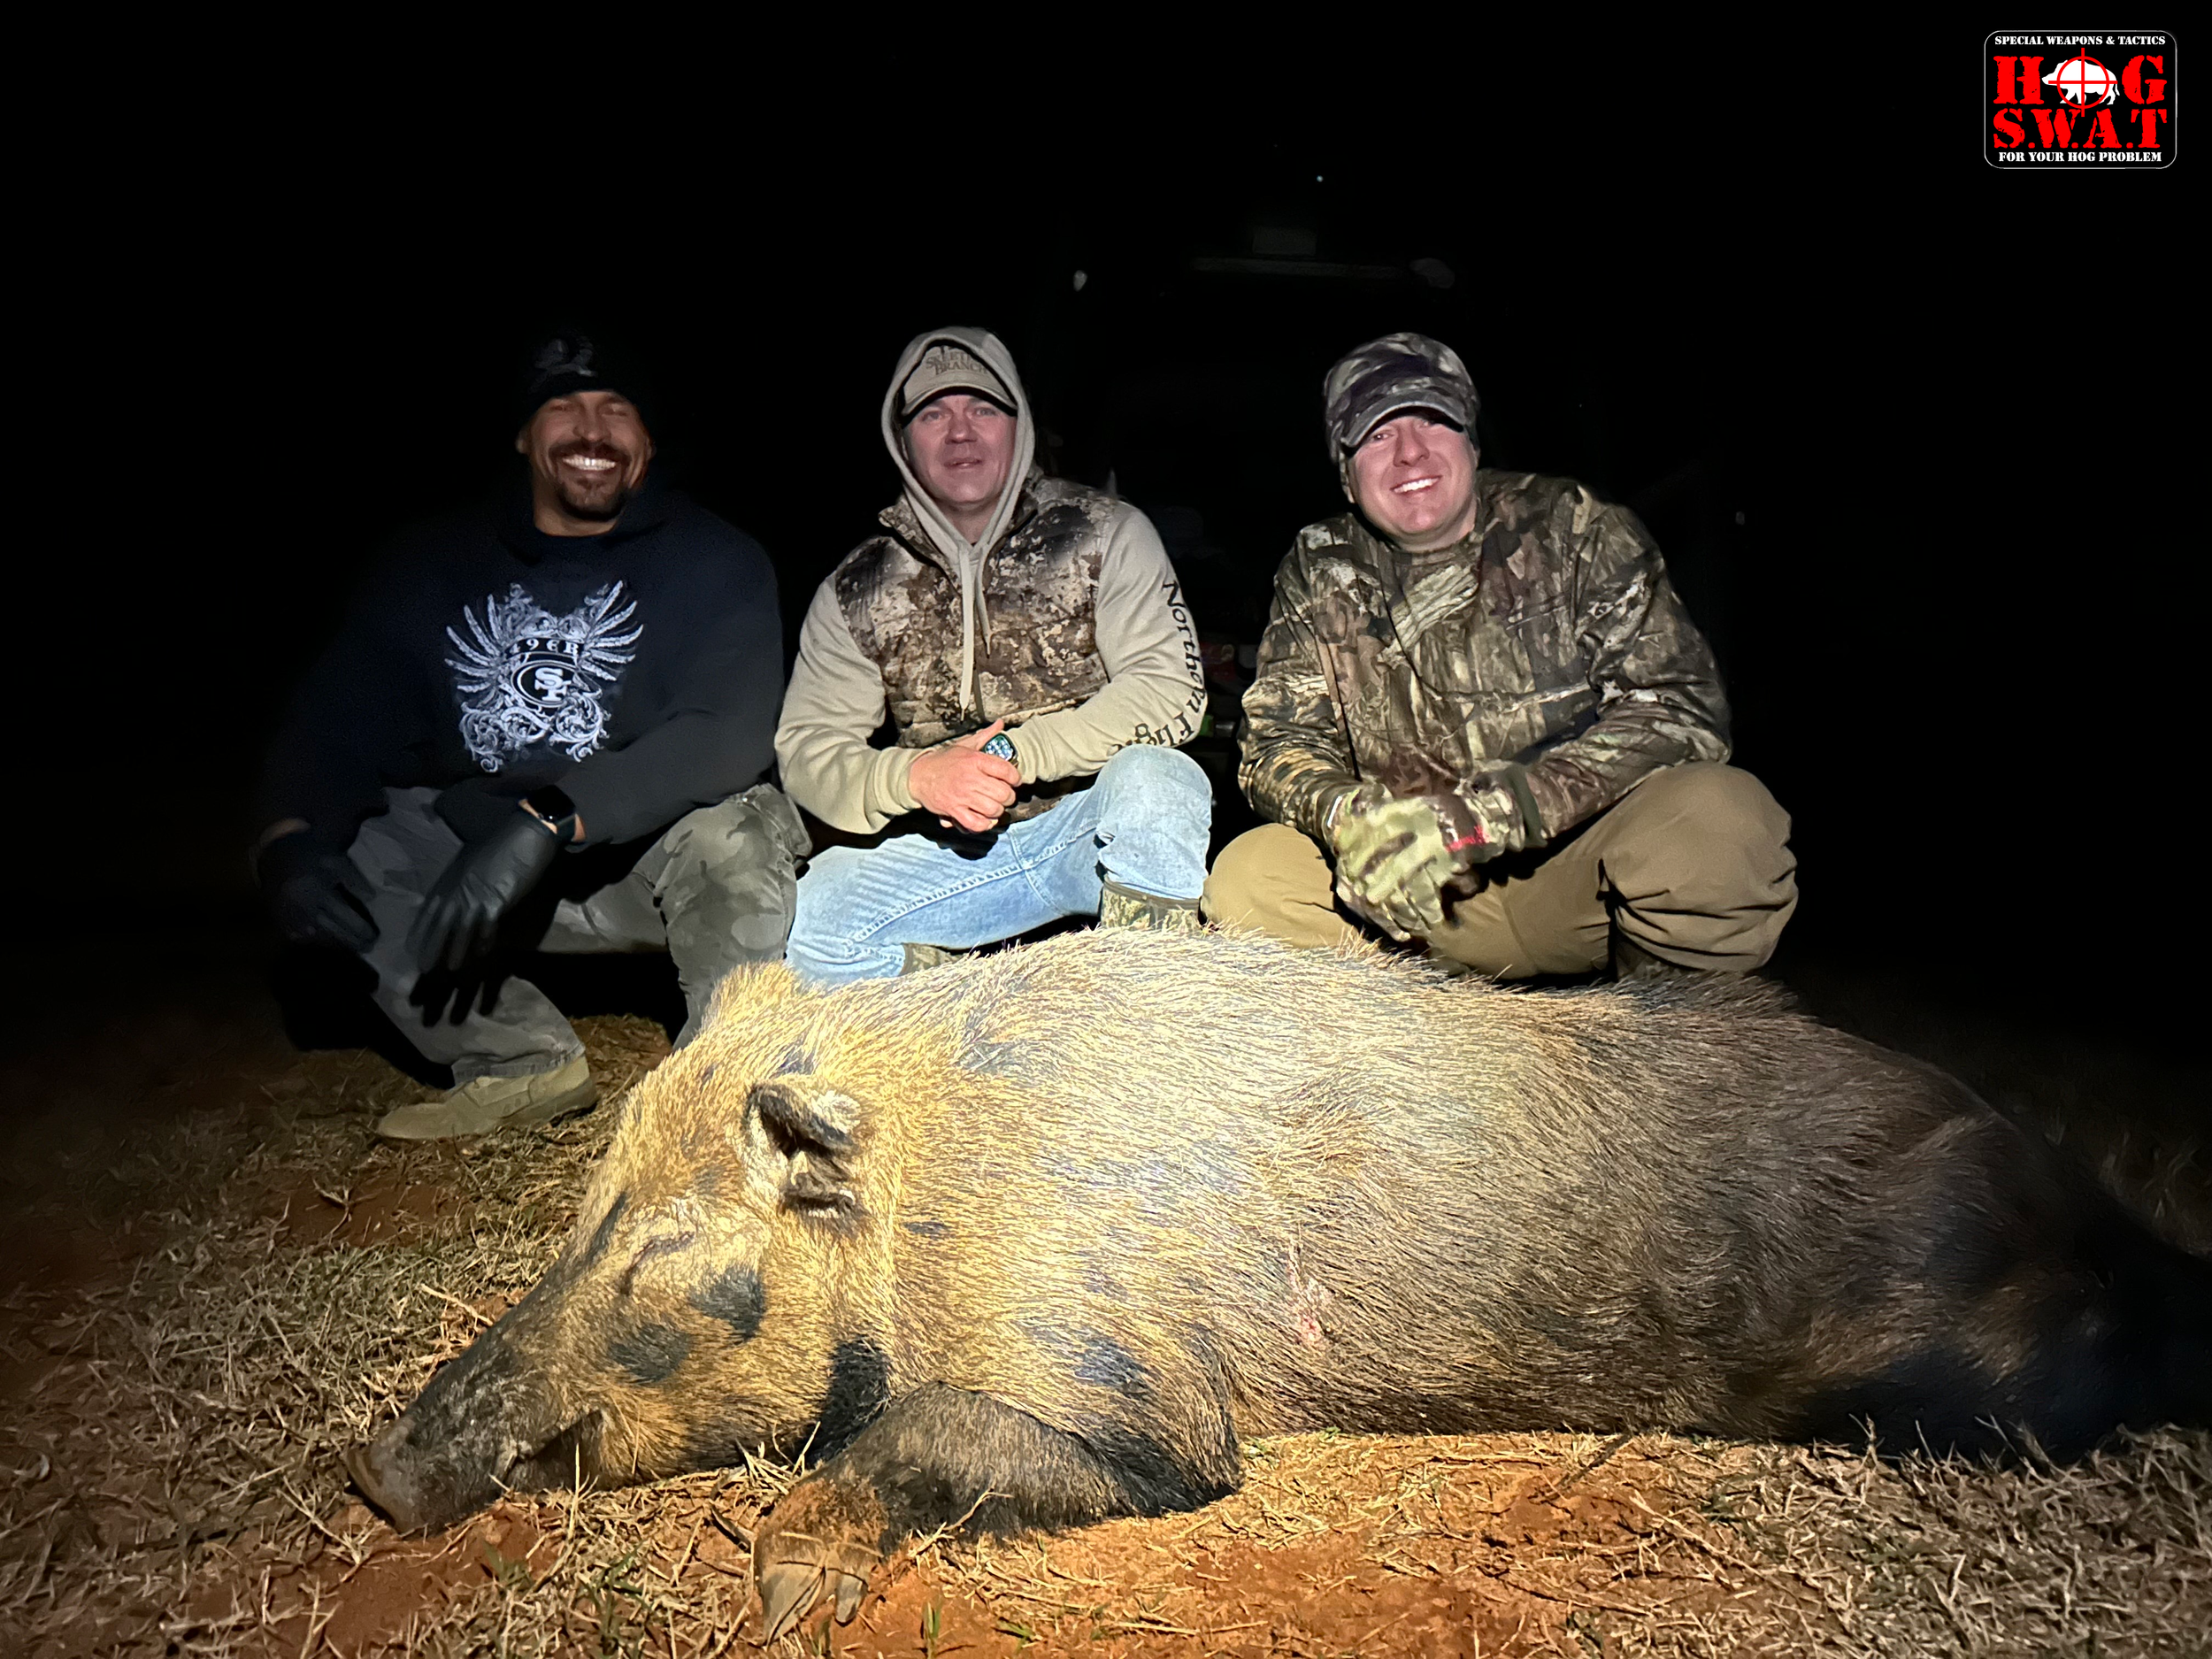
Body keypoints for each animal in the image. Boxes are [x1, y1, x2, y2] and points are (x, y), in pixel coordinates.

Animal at [346, 930, 2212, 1641]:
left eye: (666, 1248)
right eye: (585, 1205)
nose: (376, 1472)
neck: (921, 1201)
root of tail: (2064, 1183)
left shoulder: (1136, 1391)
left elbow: (931, 1441)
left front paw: (785, 1577)